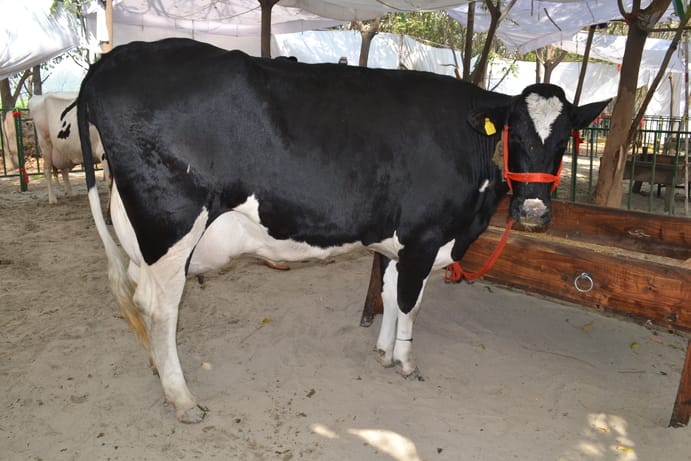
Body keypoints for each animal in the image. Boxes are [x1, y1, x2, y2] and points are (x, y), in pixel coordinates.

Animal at [77, 38, 608, 423]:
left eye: (565, 139)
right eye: (516, 134)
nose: (534, 212)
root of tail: (117, 57)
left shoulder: (398, 243)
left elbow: (390, 294)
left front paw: (383, 353)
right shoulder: (424, 237)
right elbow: (411, 302)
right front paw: (406, 363)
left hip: (141, 231)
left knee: (139, 295)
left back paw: (157, 366)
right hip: (172, 222)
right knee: (160, 307)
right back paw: (183, 398)